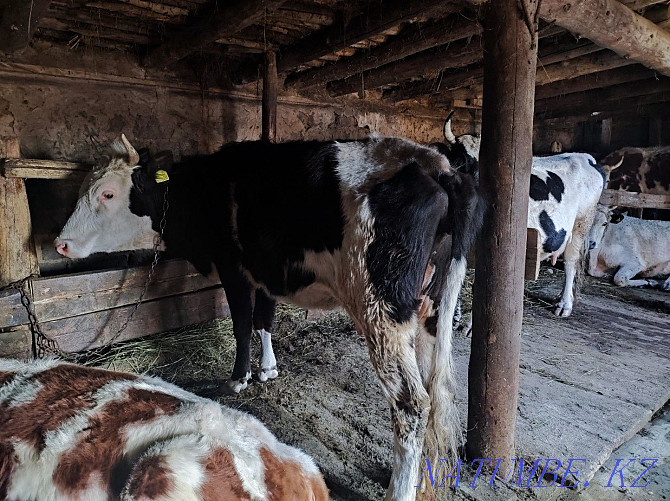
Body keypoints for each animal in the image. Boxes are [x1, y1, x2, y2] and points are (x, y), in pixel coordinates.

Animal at [52, 135, 484, 500]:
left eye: (108, 193)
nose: (60, 244)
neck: (205, 188)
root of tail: (437, 166)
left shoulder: (233, 267)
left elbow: (242, 323)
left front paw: (238, 378)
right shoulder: (264, 271)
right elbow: (264, 320)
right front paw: (268, 369)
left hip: (381, 308)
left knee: (413, 403)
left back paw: (401, 489)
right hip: (429, 306)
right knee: (435, 392)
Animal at [436, 112, 608, 316]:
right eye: (461, 161)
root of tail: (585, 157)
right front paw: (456, 314)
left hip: (582, 224)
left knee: (571, 261)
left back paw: (564, 304)